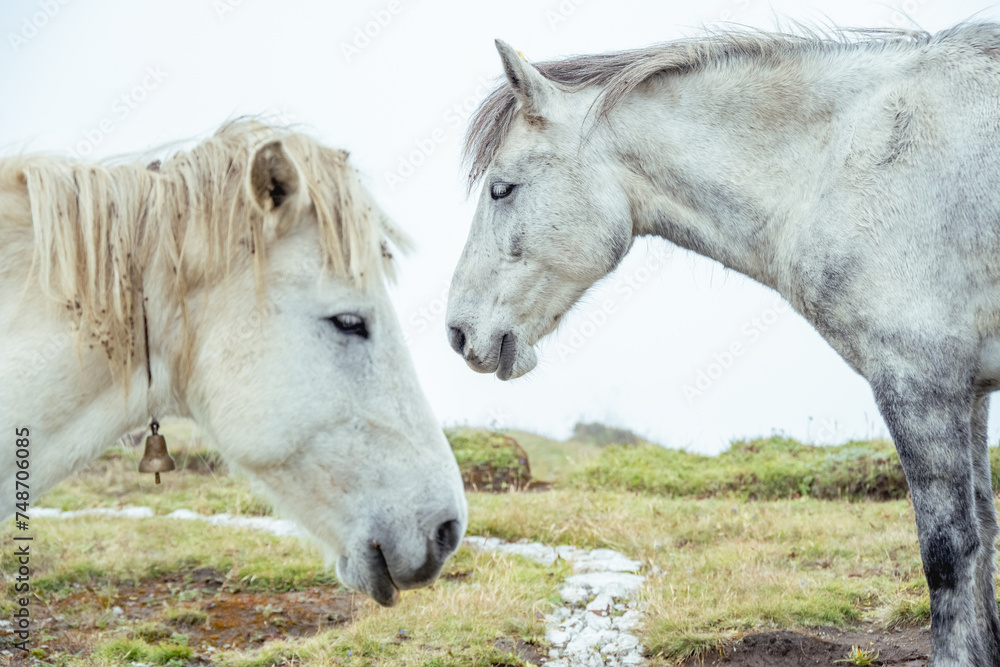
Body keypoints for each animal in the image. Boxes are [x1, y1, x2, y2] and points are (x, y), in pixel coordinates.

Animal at [445, 25, 1000, 665]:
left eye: (501, 188)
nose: (458, 333)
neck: (842, 161)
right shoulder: (968, 392)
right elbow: (984, 537)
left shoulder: (918, 381)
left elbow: (948, 550)